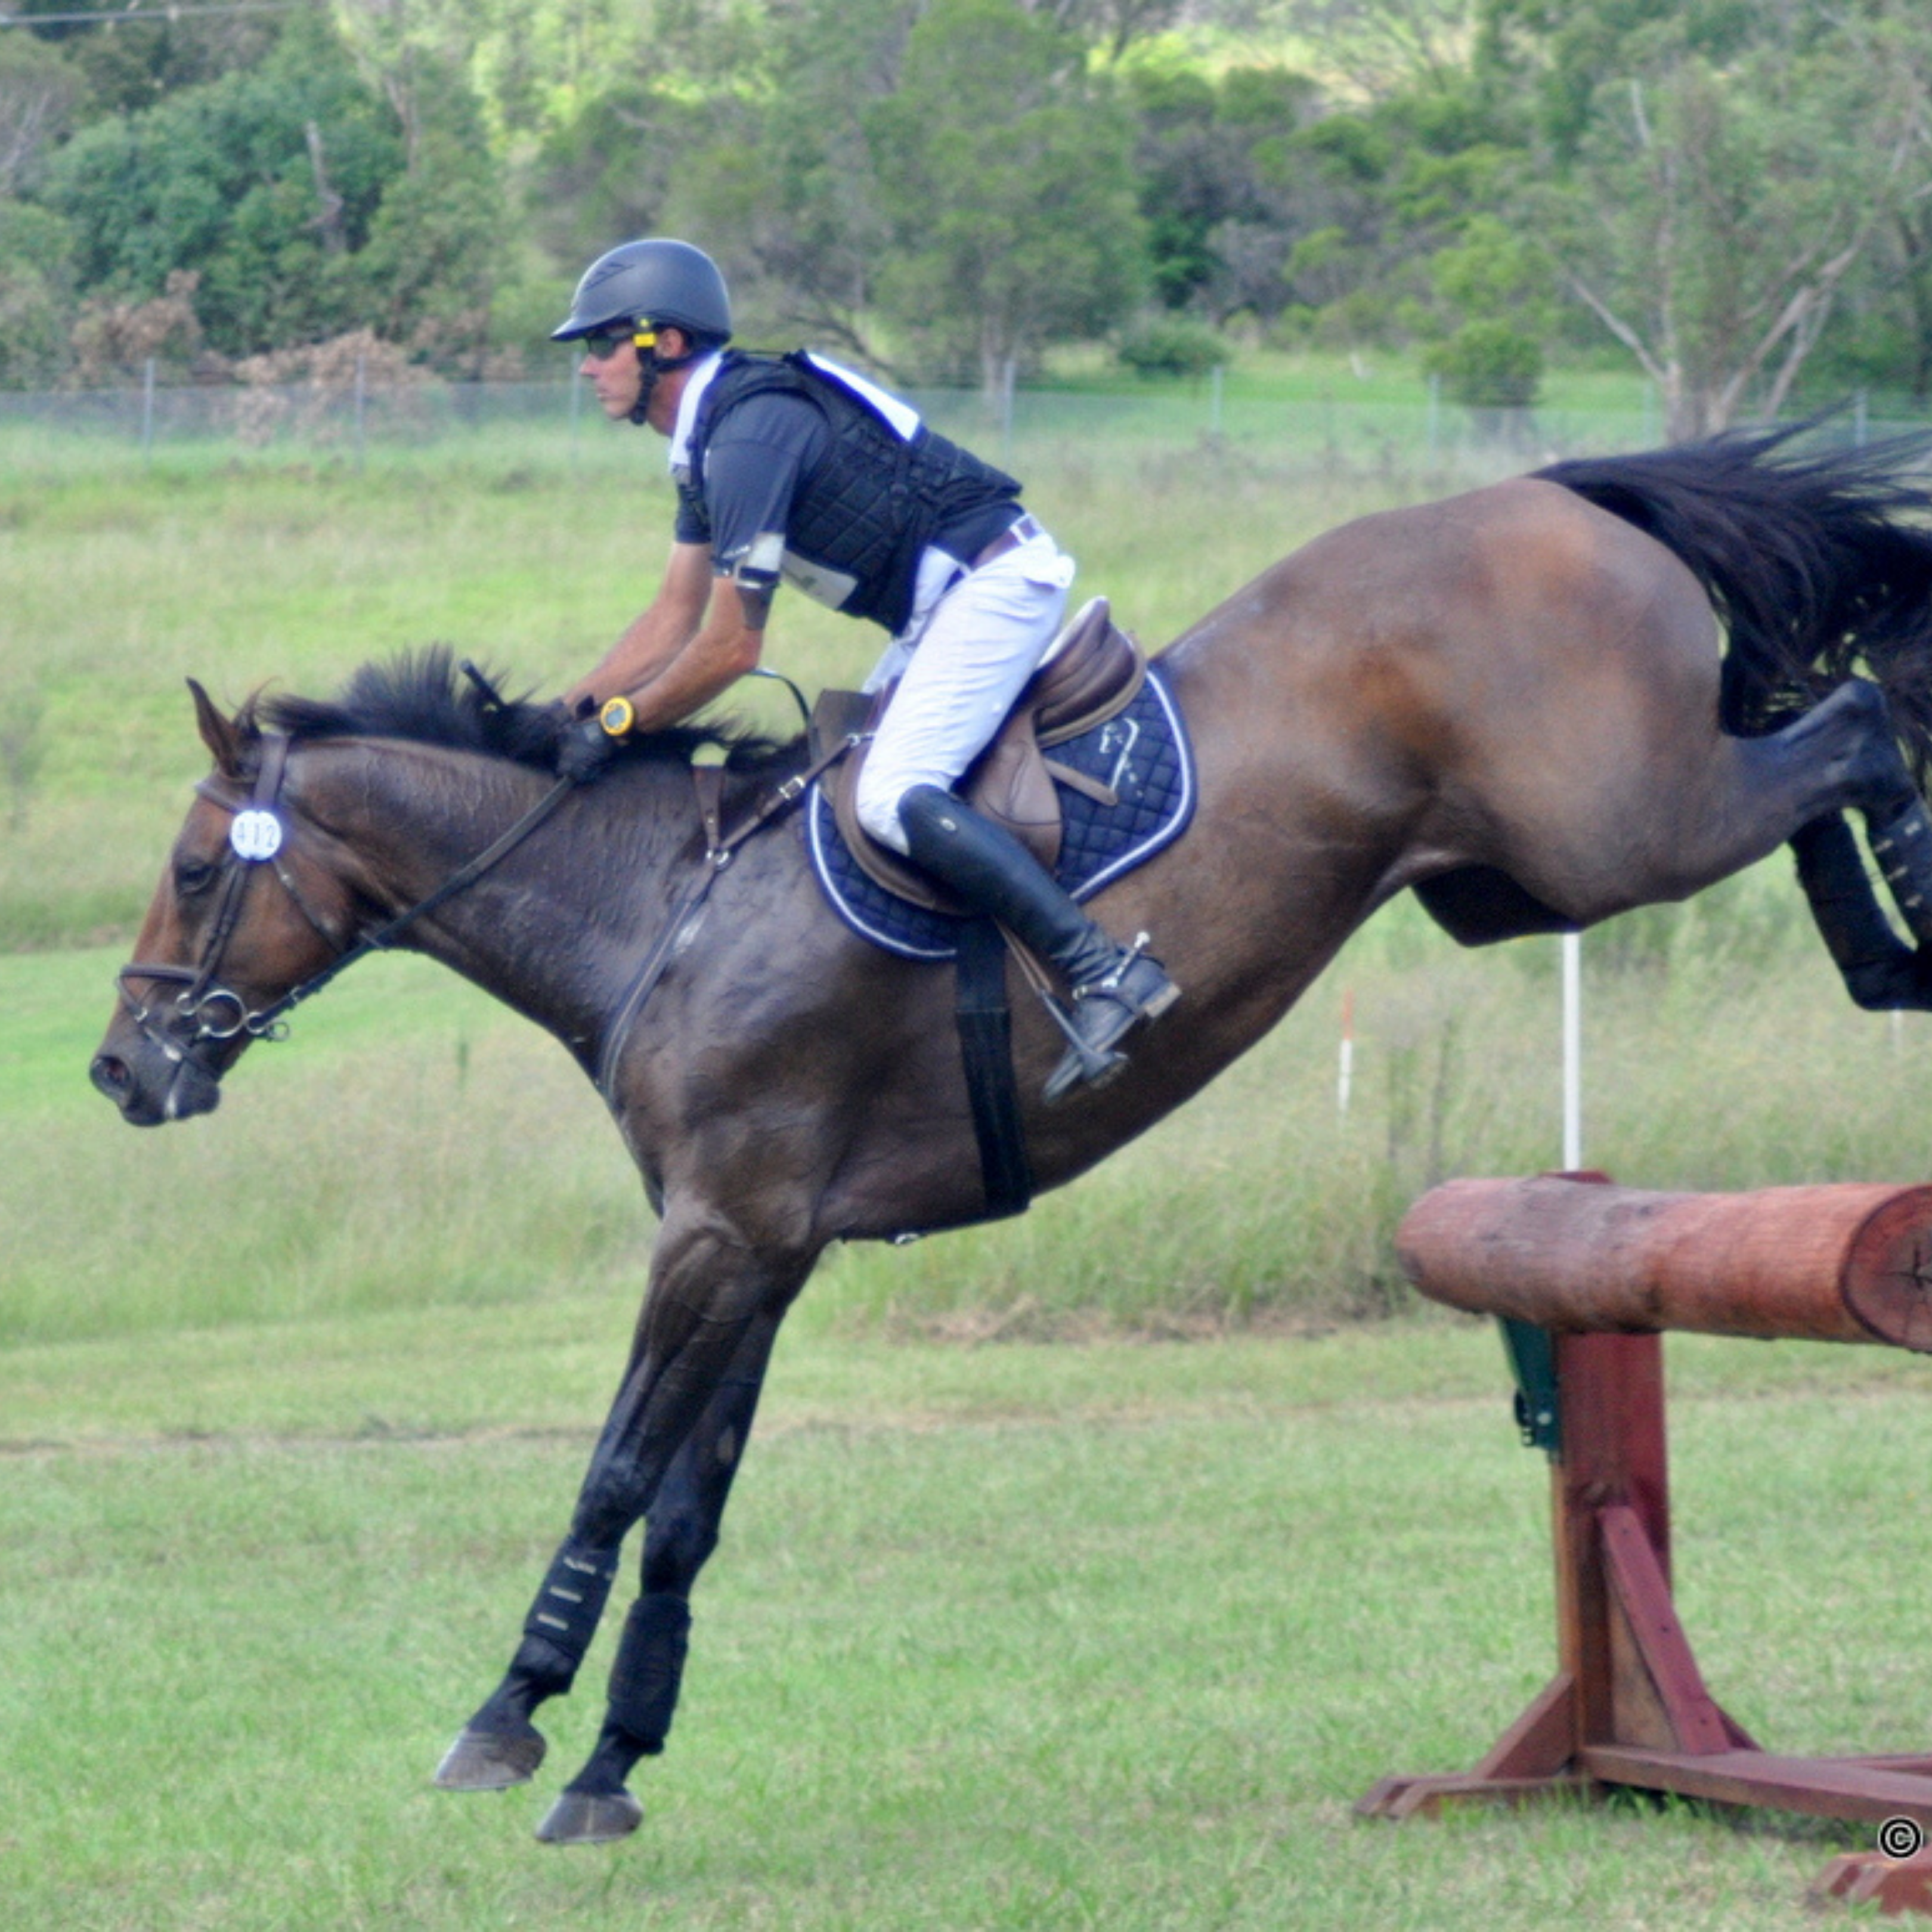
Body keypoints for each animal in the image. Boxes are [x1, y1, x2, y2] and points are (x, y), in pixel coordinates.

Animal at [91, 423, 1932, 1839]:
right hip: (1511, 878)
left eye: (189, 869)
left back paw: (1901, 920)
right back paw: (1879, 945)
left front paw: (508, 1716)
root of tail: (1556, 493)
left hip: (1615, 826)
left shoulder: (717, 1231)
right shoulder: (767, 1245)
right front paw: (613, 1761)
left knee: (1848, 722)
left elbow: (614, 1470)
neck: (654, 906)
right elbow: (687, 1506)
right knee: (1811, 725)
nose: (121, 1071)